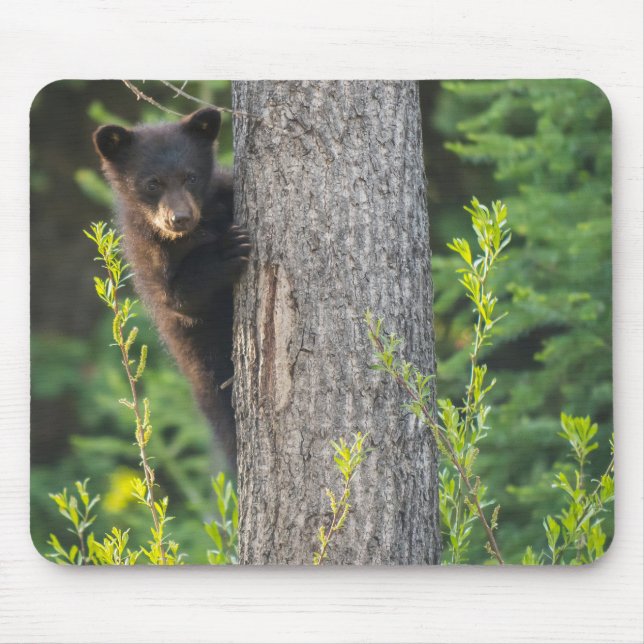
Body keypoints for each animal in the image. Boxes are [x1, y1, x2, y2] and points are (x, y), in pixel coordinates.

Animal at [93, 108, 250, 468]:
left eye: (190, 177)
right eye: (152, 183)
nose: (179, 218)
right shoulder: (147, 254)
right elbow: (180, 297)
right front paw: (228, 249)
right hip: (204, 369)